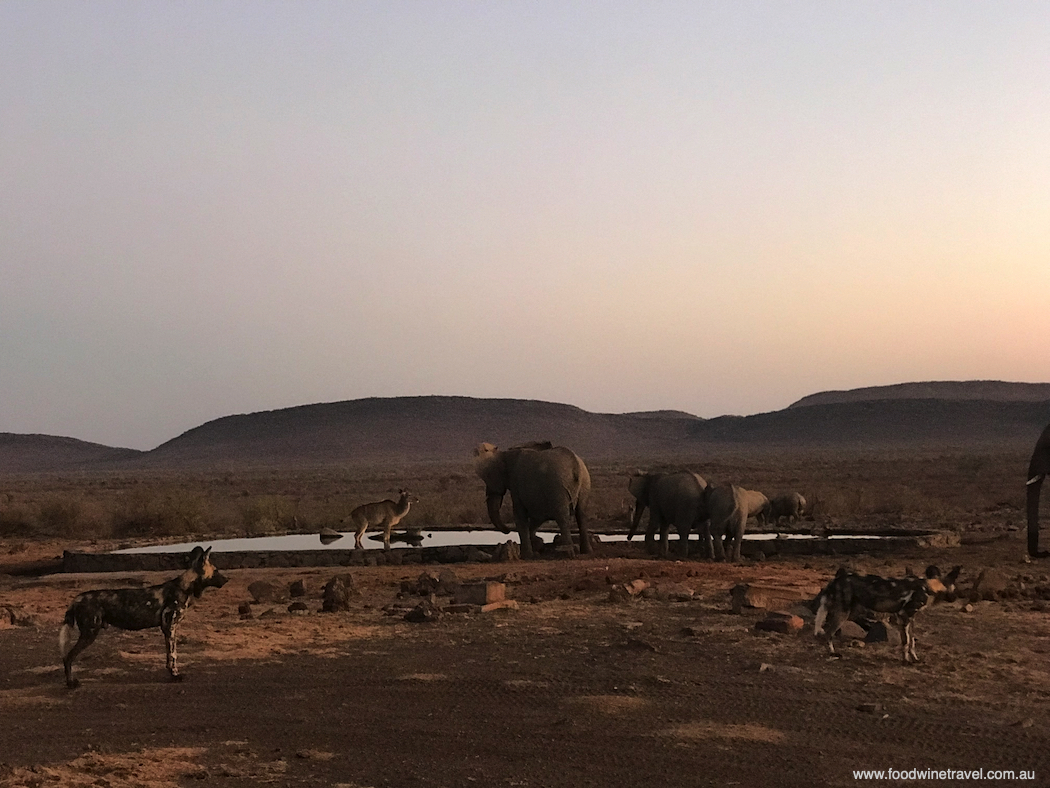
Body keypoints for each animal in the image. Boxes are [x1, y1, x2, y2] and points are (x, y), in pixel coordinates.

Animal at [59, 546, 227, 689]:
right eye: (216, 570)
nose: (227, 579)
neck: (184, 587)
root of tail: (77, 599)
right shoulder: (170, 628)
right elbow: (173, 655)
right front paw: (175, 675)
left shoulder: (168, 629)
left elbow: (170, 656)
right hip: (89, 634)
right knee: (67, 657)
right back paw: (71, 683)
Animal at [810, 563, 961, 664]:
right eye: (955, 589)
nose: (955, 598)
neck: (930, 587)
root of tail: (835, 580)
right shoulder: (904, 616)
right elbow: (905, 642)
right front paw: (906, 661)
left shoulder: (910, 619)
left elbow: (911, 641)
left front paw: (915, 659)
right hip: (843, 613)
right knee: (829, 633)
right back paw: (833, 653)